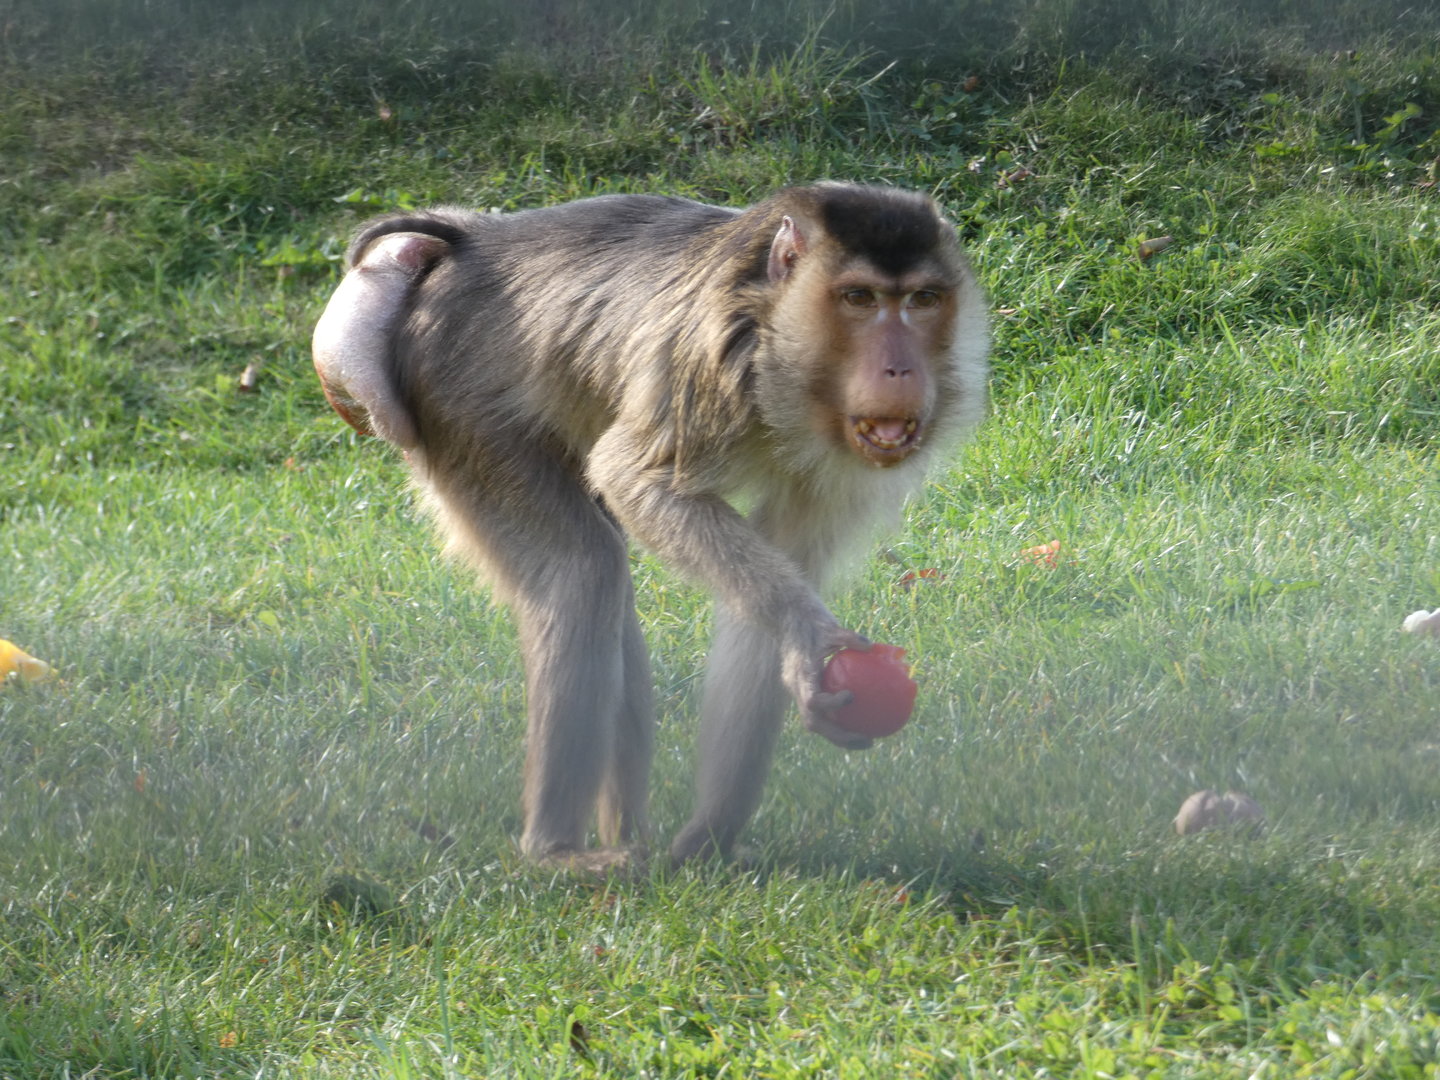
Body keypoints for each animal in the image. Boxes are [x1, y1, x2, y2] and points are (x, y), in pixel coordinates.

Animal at [311, 183, 989, 867]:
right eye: (860, 299)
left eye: (922, 300)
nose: (901, 370)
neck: (786, 356)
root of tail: (471, 242)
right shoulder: (711, 364)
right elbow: (634, 477)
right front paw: (806, 633)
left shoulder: (835, 466)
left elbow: (769, 588)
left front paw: (711, 834)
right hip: (458, 399)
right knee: (583, 569)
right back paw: (554, 850)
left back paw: (628, 832)